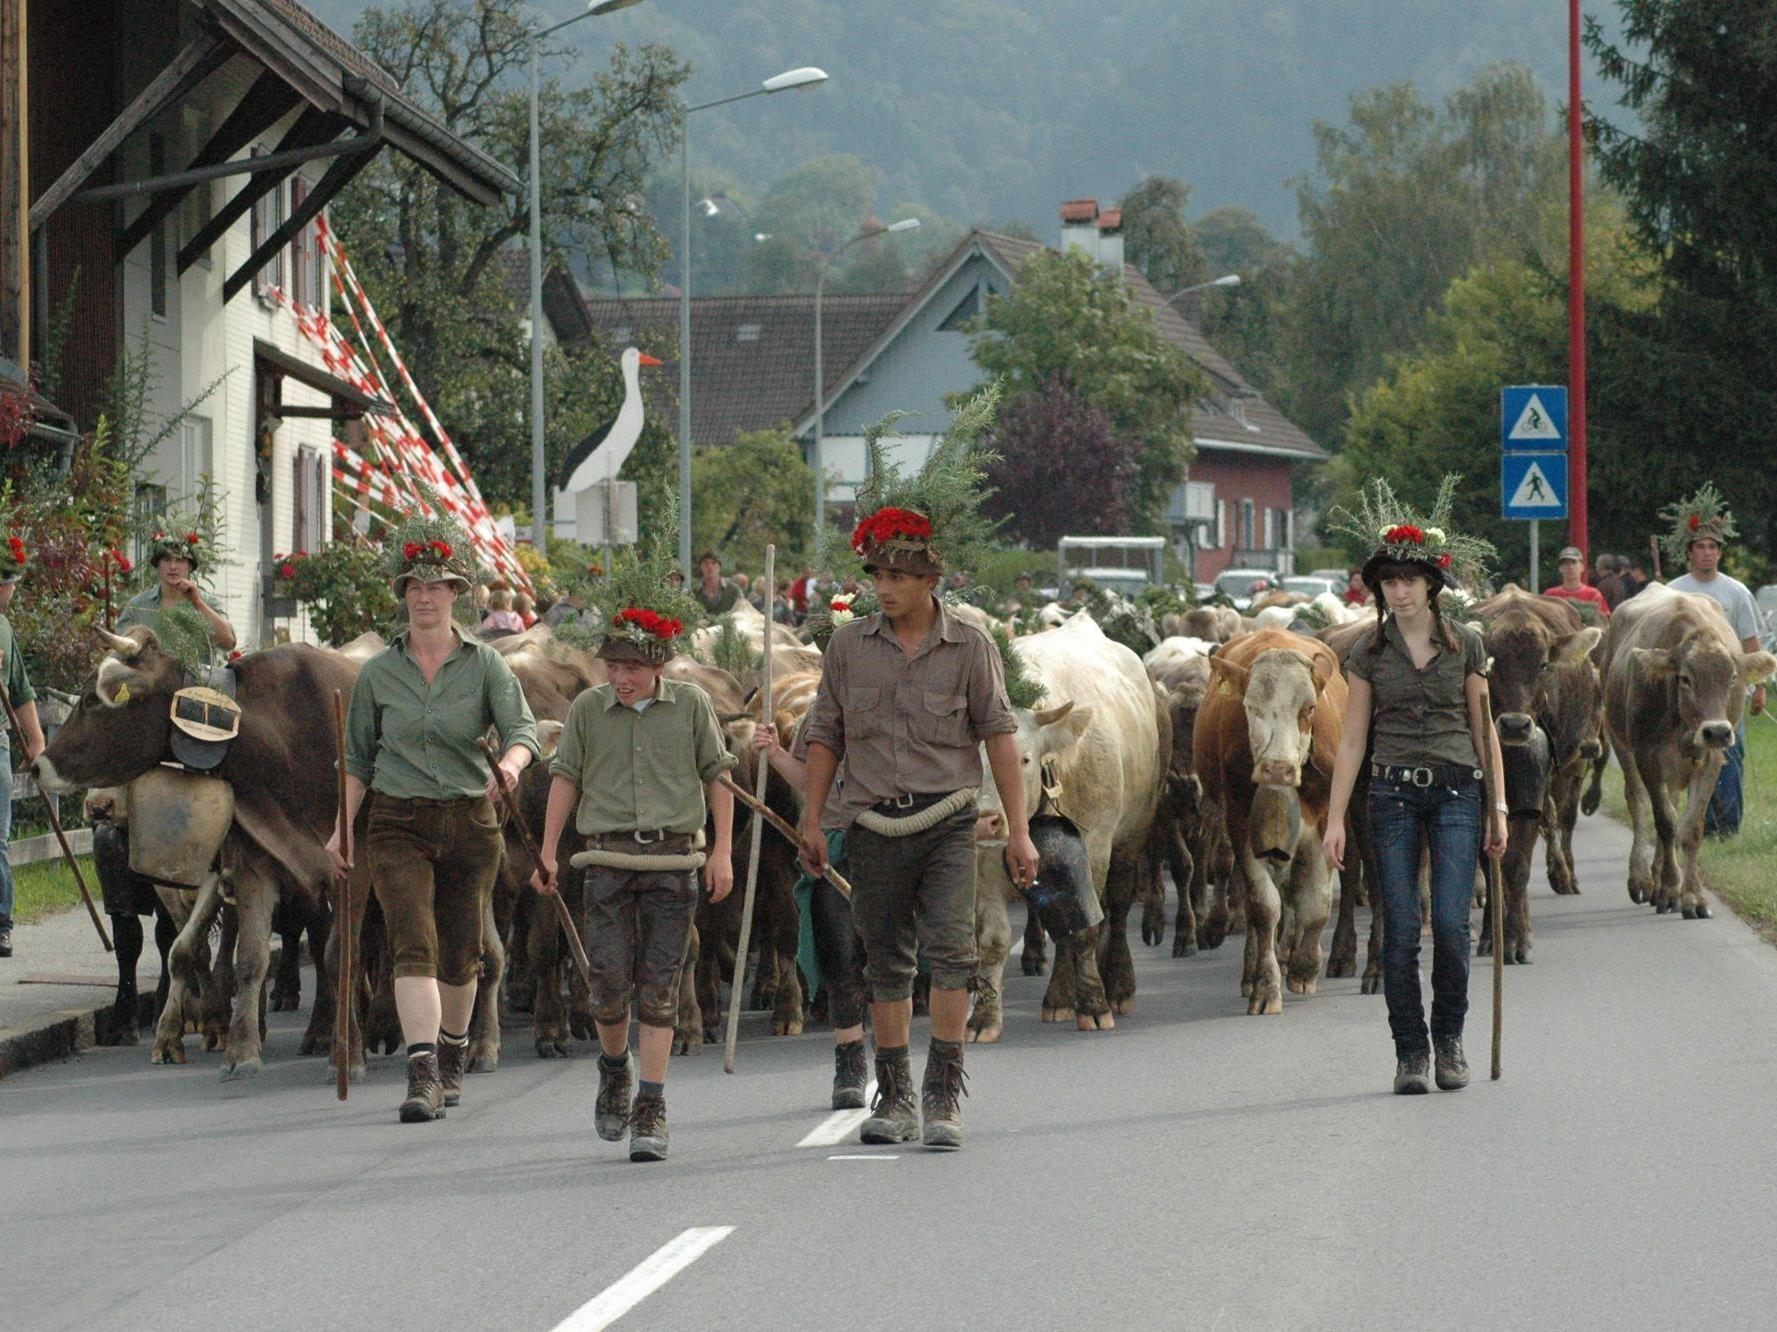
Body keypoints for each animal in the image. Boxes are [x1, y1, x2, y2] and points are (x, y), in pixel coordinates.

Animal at [973, 614, 1165, 1044]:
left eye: (1023, 759)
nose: (985, 819)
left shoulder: (1094, 846)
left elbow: (1087, 929)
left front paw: (1094, 1005)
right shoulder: (985, 861)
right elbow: (992, 939)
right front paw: (983, 1018)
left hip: (1132, 836)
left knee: (1117, 911)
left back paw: (1117, 988)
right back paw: (1059, 998)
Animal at [1194, 632, 1343, 1015]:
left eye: (1309, 709)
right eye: (1250, 707)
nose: (1277, 769)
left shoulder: (1324, 824)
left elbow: (1316, 904)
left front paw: (1305, 967)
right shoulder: (1241, 826)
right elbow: (1263, 907)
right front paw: (1265, 986)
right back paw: (1251, 972)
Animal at [1464, 589, 1606, 966]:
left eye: (1542, 664)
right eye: (1493, 664)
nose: (1516, 725)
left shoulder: (1535, 793)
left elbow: (1517, 863)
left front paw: (1516, 939)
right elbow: (1492, 863)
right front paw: (1493, 936)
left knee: (1560, 824)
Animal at [1606, 582, 1769, 916]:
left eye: (1732, 677)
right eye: (1685, 678)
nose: (1717, 731)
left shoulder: (1711, 758)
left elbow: (1690, 827)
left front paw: (1691, 895)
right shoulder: (1647, 756)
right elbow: (1665, 823)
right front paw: (1671, 890)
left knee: (1669, 803)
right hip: (1620, 742)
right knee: (1638, 801)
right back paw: (1643, 880)